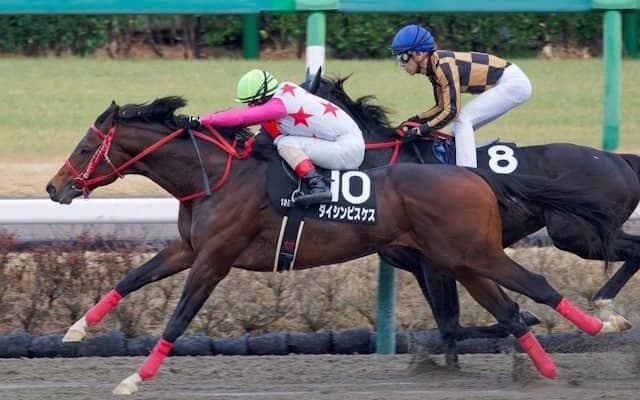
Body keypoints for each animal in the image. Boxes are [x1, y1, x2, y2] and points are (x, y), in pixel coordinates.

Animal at [46, 97, 629, 394]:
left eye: (85, 147)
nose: (55, 187)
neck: (215, 176)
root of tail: (474, 176)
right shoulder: (189, 249)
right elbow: (130, 278)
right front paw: (75, 330)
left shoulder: (215, 258)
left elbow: (179, 318)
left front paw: (133, 377)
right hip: (458, 259)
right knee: (507, 308)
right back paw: (546, 368)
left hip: (472, 254)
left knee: (536, 286)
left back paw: (605, 324)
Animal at [307, 73, 640, 362]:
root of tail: (617, 159)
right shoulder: (424, 266)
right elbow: (457, 325)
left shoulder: (434, 265)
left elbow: (452, 326)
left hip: (577, 235)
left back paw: (605, 306)